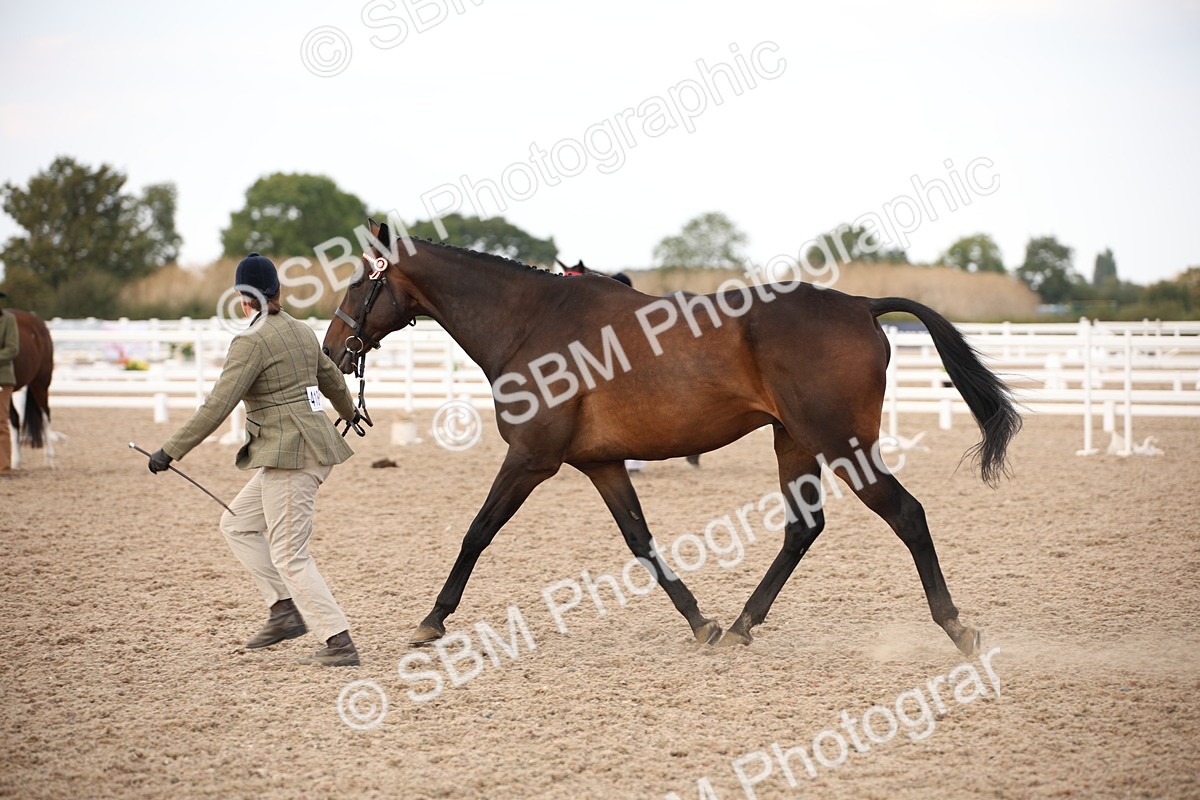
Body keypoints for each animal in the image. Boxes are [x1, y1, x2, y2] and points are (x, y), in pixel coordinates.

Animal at [324, 220, 1020, 655]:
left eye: (358, 283)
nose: (331, 348)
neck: (532, 321)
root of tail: (860, 305)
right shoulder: (601, 464)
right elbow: (642, 543)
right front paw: (700, 622)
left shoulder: (531, 458)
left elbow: (476, 532)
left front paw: (430, 622)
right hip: (795, 443)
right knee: (803, 529)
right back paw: (740, 625)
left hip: (841, 444)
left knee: (906, 513)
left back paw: (957, 629)